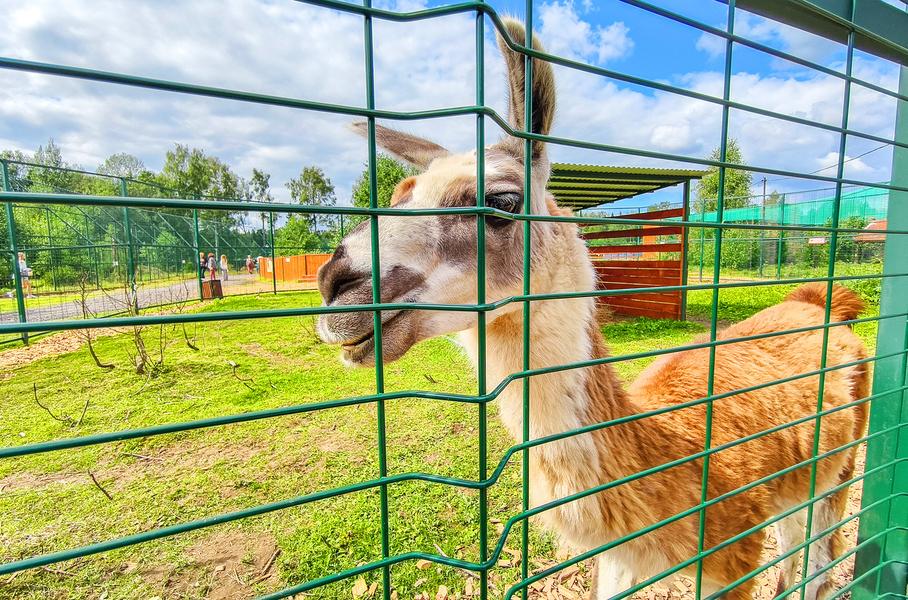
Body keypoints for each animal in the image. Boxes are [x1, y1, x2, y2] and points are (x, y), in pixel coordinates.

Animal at [315, 19, 870, 600]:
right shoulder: (620, 560)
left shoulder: (732, 555)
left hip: (838, 470)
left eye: (503, 202)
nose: (336, 284)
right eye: (397, 198)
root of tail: (819, 302)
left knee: (821, 560)